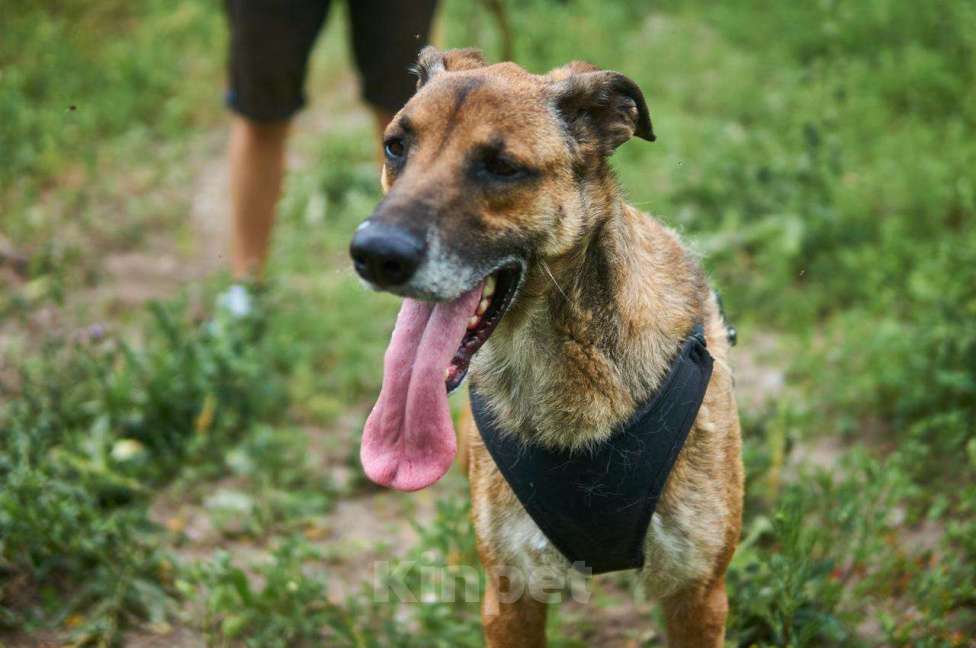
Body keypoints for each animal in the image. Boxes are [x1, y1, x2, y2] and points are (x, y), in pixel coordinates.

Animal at [354, 46, 744, 648]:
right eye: (396, 146)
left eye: (501, 166)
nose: (373, 254)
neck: (569, 352)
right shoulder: (510, 598)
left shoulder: (698, 595)